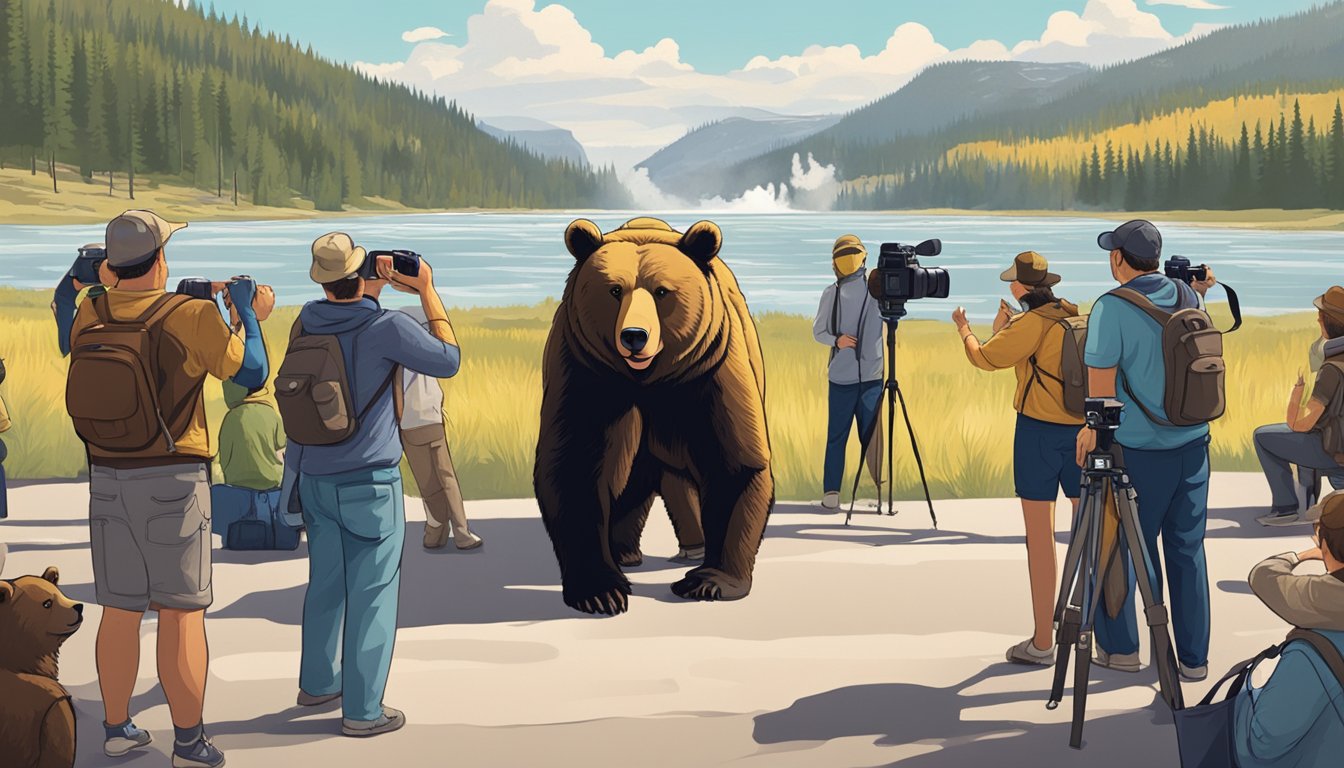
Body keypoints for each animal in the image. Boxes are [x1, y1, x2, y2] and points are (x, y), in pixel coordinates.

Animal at [532, 219, 774, 616]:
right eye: (615, 290)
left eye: (662, 291)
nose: (634, 336)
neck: (647, 380)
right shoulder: (585, 372)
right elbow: (575, 463)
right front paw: (601, 591)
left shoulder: (710, 371)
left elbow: (734, 464)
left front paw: (709, 581)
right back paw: (625, 553)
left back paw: (691, 547)